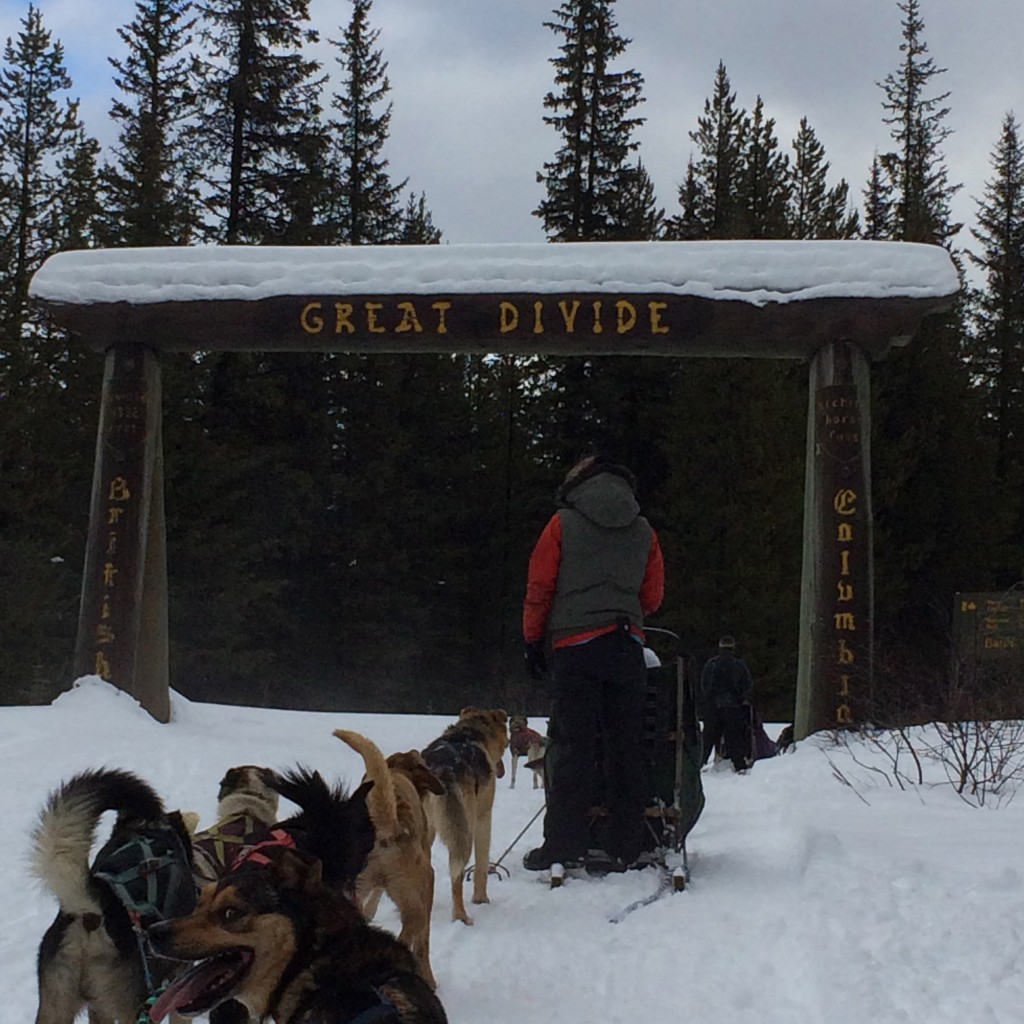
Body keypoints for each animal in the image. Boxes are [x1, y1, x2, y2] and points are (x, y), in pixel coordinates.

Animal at [419, 708, 507, 925]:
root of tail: (441, 768)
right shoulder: (483, 818)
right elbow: (482, 866)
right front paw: (481, 899)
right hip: (462, 833)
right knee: (456, 879)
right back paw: (461, 916)